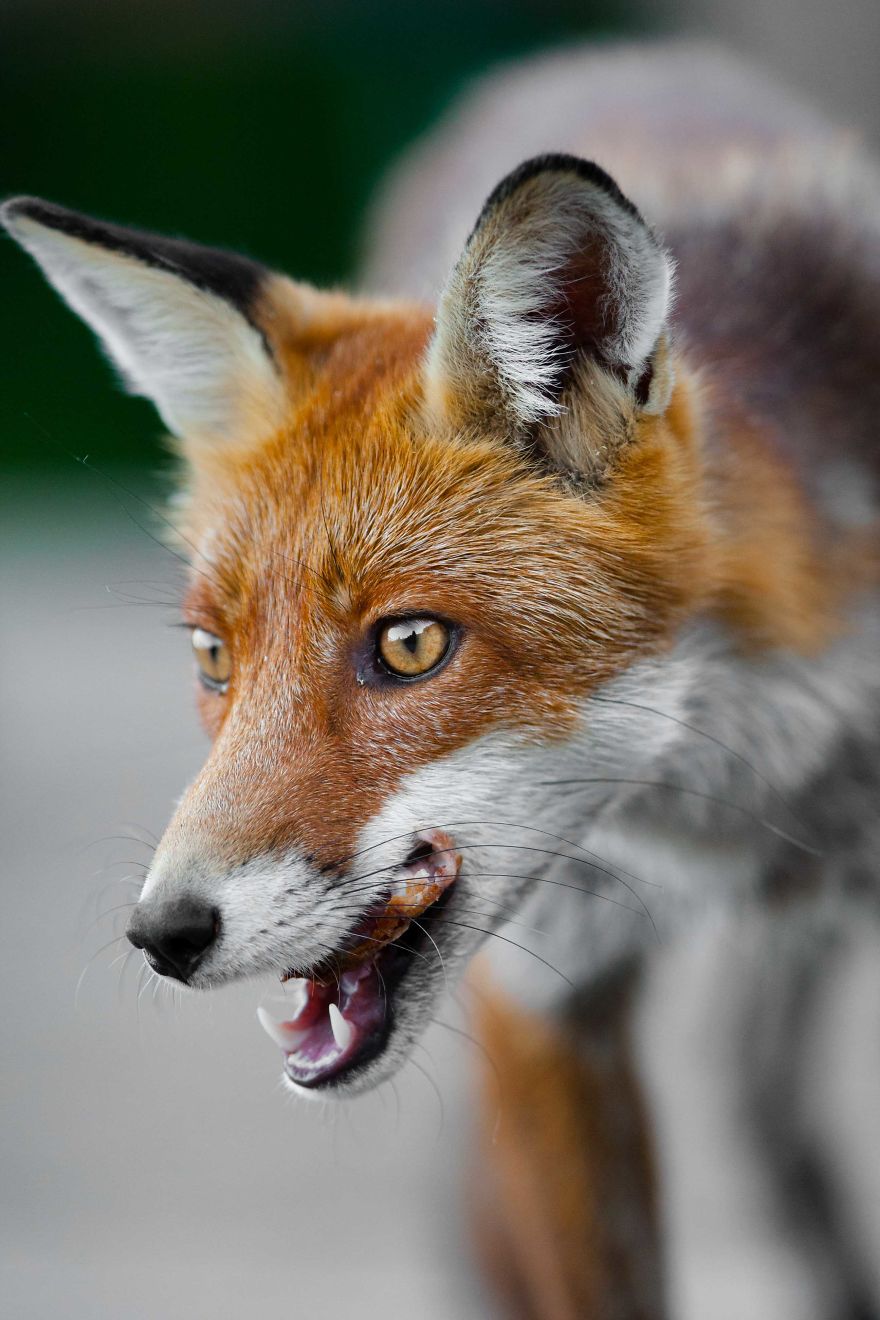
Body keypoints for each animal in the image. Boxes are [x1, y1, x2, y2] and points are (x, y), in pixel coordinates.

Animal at [5, 40, 880, 1320]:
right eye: (215, 657)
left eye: (410, 644)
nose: (162, 934)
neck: (754, 803)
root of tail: (592, 55)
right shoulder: (547, 1004)